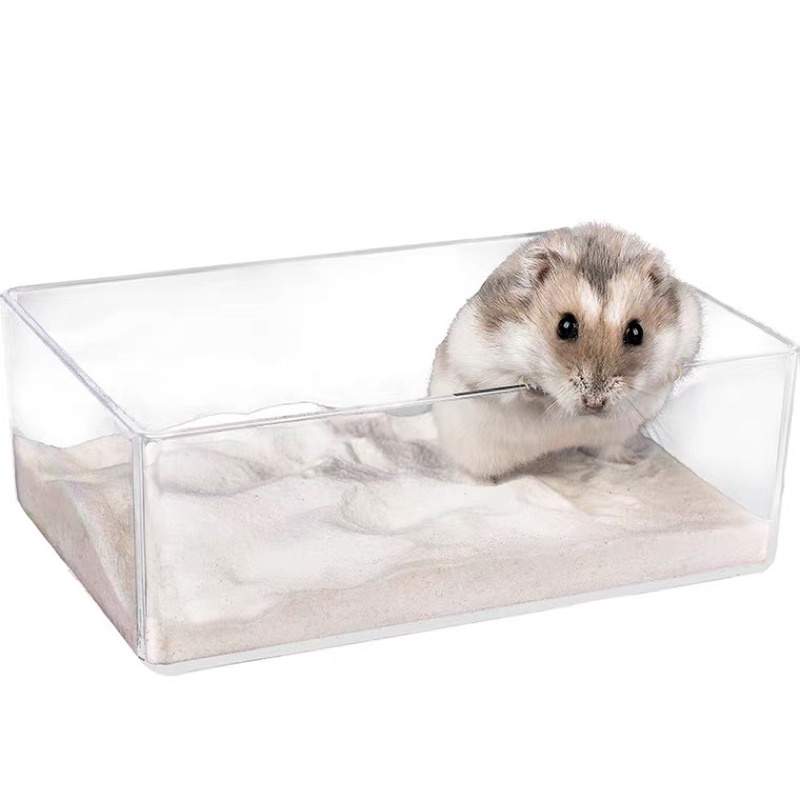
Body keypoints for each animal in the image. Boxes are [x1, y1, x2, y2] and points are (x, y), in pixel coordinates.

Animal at [428, 223, 703, 480]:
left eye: (637, 332)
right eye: (565, 326)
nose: (594, 404)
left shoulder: (689, 326)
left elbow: (679, 360)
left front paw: (672, 372)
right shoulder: (477, 359)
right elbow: (508, 384)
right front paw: (533, 385)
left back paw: (630, 460)